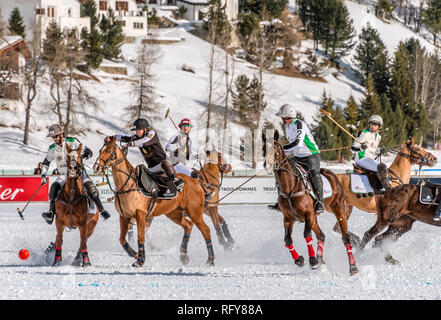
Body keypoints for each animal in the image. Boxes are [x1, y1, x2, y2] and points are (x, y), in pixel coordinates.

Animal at [93, 136, 215, 266]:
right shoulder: (124, 216)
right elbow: (122, 239)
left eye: (109, 151)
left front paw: (140, 260)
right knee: (188, 225)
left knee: (206, 230)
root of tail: (197, 183)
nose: (96, 167)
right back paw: (184, 256)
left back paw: (210, 260)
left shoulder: (140, 215)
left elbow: (141, 237)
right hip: (173, 212)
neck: (128, 184)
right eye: (100, 150)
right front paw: (135, 254)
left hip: (194, 211)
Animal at [262, 130, 358, 276]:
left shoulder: (308, 214)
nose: (267, 165)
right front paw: (299, 260)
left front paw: (312, 261)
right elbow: (287, 240)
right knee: (321, 236)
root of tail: (334, 176)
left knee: (345, 237)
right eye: (263, 148)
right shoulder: (288, 218)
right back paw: (321, 259)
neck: (289, 187)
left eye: (277, 148)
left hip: (338, 209)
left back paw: (352, 267)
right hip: (314, 218)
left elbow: (306, 235)